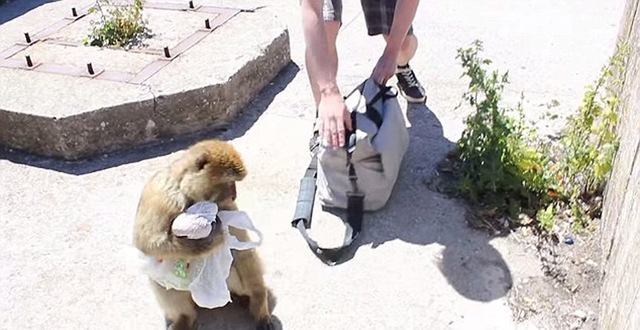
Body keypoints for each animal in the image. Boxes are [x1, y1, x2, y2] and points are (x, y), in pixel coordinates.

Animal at [134, 139, 274, 330]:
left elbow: (242, 250)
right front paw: (211, 238)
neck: (187, 191)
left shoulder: (225, 206)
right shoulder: (161, 195)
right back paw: (184, 317)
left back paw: (247, 297)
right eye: (230, 181)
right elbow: (147, 242)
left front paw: (259, 302)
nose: (234, 195)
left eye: (236, 182)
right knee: (159, 278)